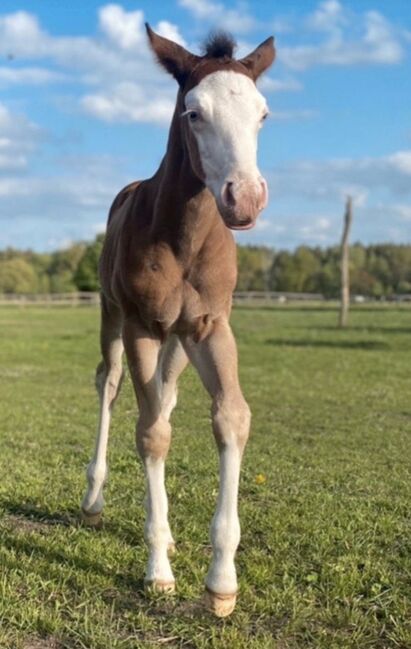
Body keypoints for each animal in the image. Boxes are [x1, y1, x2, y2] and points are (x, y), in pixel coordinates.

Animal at [81, 25, 276, 616]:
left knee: (165, 396)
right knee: (111, 386)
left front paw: (221, 583)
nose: (245, 198)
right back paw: (93, 499)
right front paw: (158, 572)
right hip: (114, 316)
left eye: (262, 113)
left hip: (177, 343)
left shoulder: (209, 327)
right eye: (194, 112)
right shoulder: (141, 325)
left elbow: (231, 417)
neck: (183, 239)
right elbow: (150, 434)